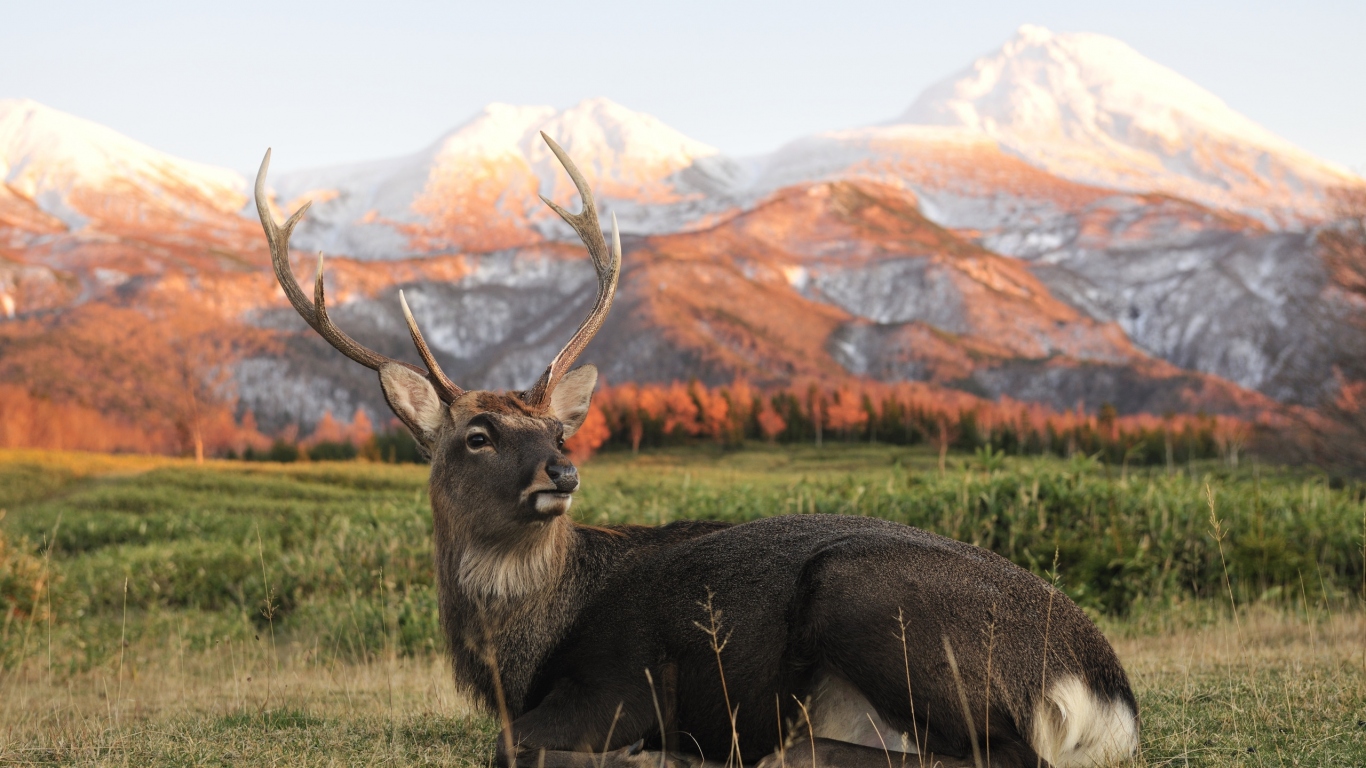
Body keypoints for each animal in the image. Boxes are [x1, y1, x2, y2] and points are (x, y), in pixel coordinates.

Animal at [254, 134, 1138, 768]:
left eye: (558, 431)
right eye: (479, 436)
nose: (563, 471)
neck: (519, 656)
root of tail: (1106, 691)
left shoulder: (624, 683)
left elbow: (509, 747)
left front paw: (645, 754)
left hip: (867, 596)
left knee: (1002, 754)